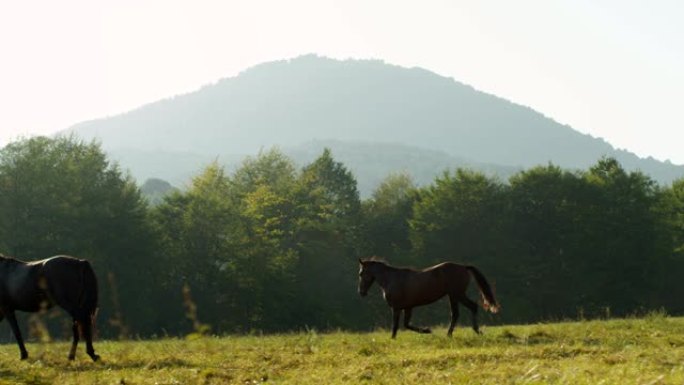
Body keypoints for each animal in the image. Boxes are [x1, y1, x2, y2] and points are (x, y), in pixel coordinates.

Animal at [358, 258, 496, 336]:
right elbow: (406, 325)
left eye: (361, 273)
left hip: (457, 294)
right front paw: (427, 330)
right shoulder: (408, 307)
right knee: (456, 314)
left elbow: (396, 326)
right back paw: (450, 334)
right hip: (453, 296)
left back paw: (476, 331)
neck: (391, 279)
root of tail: (463, 267)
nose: (361, 292)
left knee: (472, 307)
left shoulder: (396, 308)